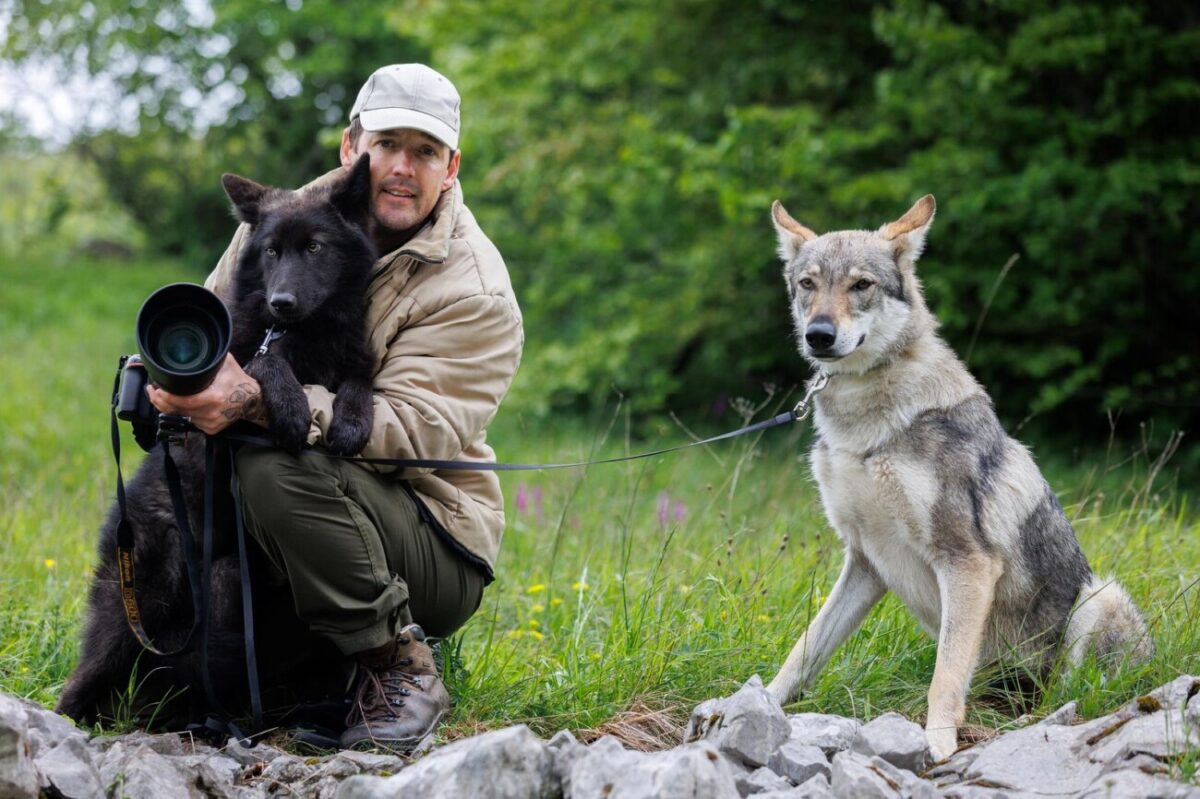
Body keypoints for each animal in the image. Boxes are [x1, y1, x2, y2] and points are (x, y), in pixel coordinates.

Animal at [56, 155, 379, 719]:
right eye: (271, 251)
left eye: (315, 247)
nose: (281, 302)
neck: (305, 335)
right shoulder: (244, 362)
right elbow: (262, 364)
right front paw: (291, 405)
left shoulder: (353, 355)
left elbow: (360, 380)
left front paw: (351, 421)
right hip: (138, 602)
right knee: (83, 677)